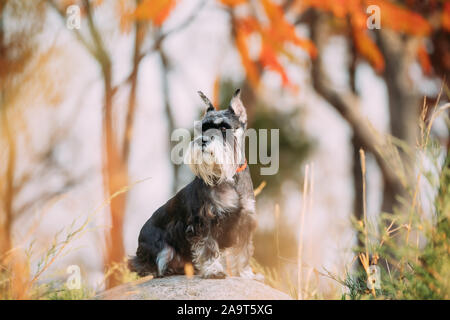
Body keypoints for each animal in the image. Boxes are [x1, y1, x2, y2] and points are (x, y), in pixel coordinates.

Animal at [128, 89, 258, 278]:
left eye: (224, 127)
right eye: (203, 128)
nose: (203, 141)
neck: (230, 178)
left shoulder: (245, 221)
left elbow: (243, 251)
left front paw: (245, 273)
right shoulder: (203, 221)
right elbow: (209, 247)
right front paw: (213, 270)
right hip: (161, 249)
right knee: (152, 264)